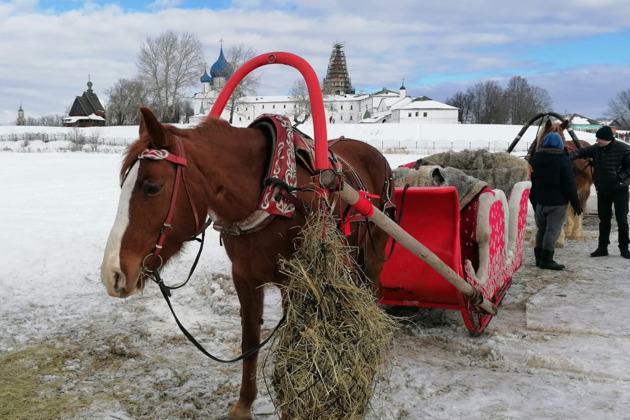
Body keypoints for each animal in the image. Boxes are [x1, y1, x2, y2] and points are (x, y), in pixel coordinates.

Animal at [99, 106, 396, 418]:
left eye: (152, 188)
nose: (113, 273)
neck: (272, 196)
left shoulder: (296, 284)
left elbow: (290, 348)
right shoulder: (244, 277)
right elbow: (250, 340)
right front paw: (244, 404)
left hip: (374, 251)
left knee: (373, 292)